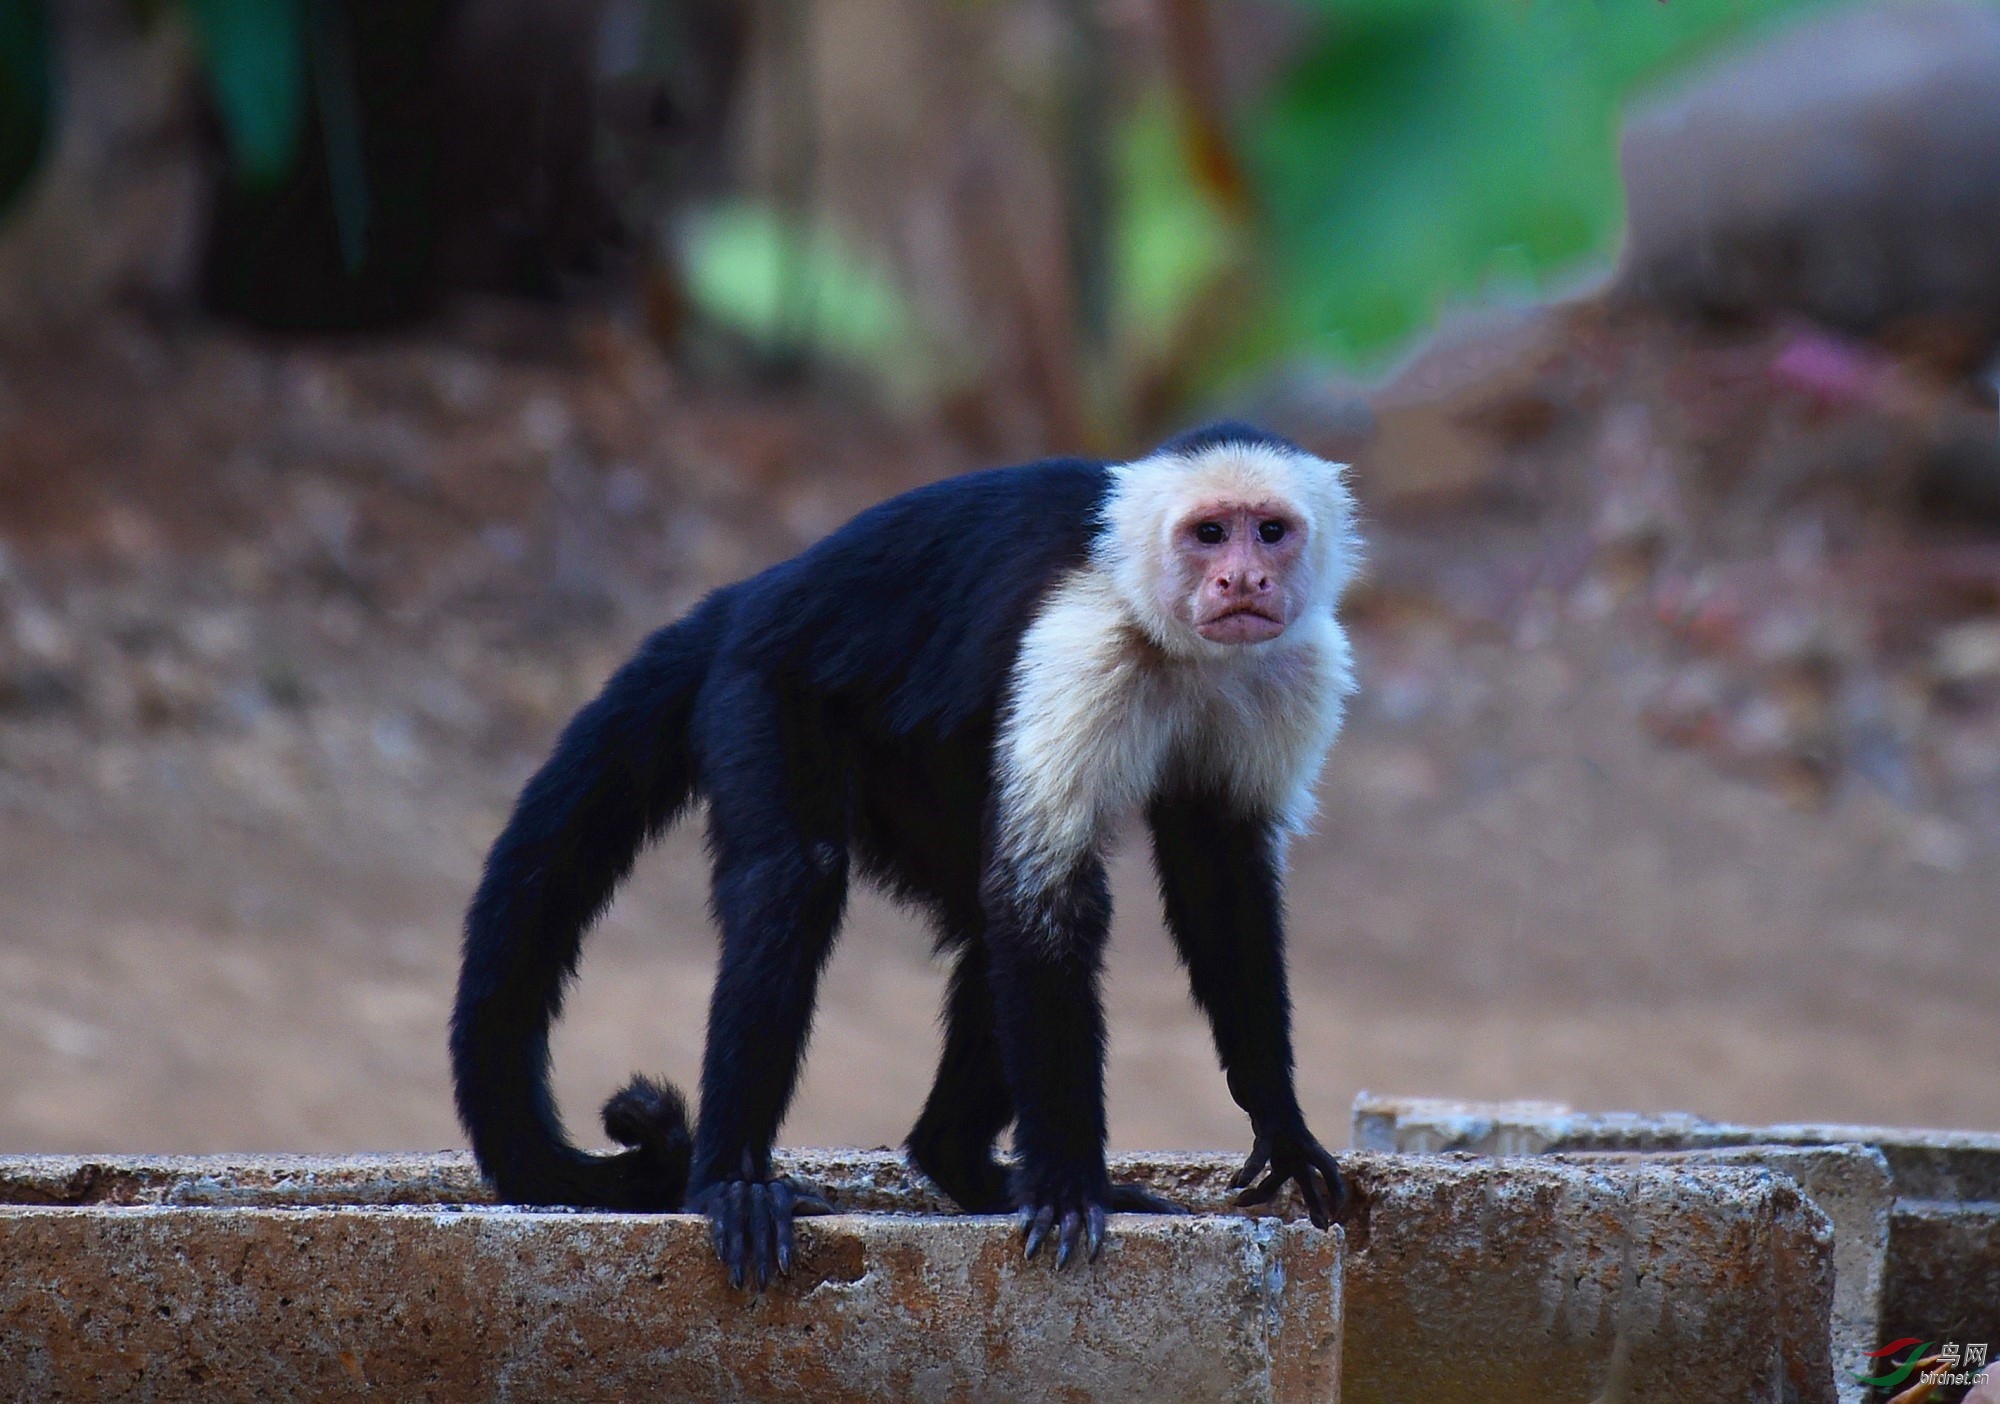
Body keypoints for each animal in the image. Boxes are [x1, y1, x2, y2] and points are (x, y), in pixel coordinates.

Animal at [448, 424, 1368, 1296]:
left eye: (1271, 531)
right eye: (1209, 533)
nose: (1243, 580)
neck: (1173, 633)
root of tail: (755, 592)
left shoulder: (1300, 663)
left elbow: (1218, 876)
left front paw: (1281, 1126)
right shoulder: (1084, 642)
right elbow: (1041, 896)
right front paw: (1068, 1184)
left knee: (979, 918)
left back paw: (957, 1163)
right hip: (760, 687)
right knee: (800, 878)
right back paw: (731, 1184)